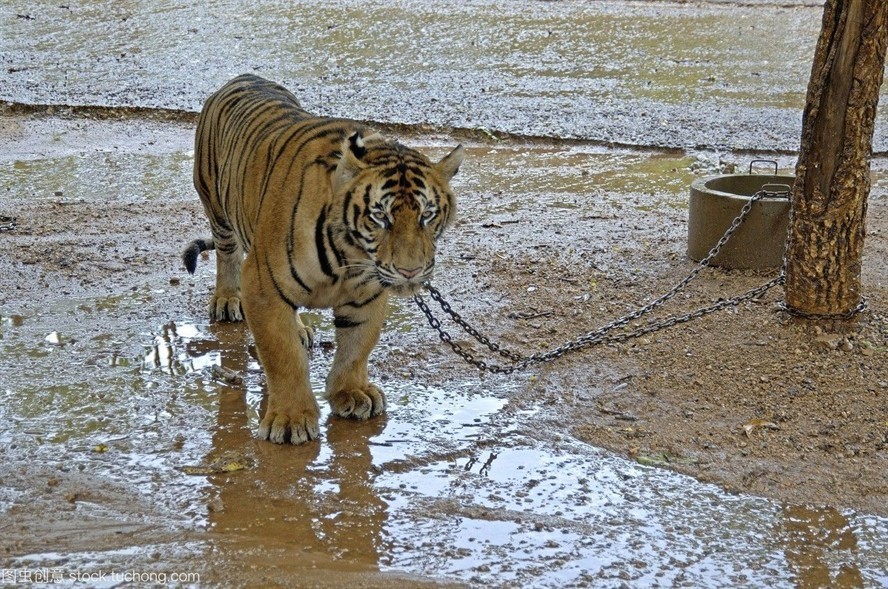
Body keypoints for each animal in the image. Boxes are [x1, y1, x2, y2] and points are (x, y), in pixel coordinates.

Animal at [182, 74, 463, 445]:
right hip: (216, 206)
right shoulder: (262, 284)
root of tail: (245, 76)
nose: (410, 271)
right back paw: (227, 300)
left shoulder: (367, 293)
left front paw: (352, 392)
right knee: (227, 255)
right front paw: (290, 419)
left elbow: (357, 347)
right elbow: (284, 357)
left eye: (427, 215)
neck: (350, 258)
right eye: (380, 217)